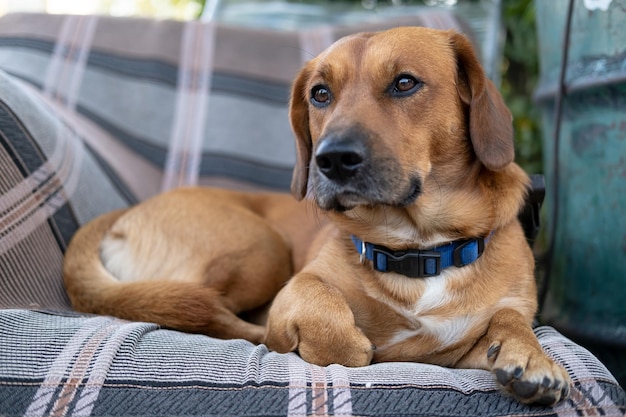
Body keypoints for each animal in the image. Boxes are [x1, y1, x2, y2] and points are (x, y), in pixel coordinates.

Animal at [62, 26, 564, 404]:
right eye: (320, 94)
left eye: (405, 83)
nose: (332, 159)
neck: (416, 247)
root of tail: (123, 216)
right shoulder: (298, 288)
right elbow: (327, 313)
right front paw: (347, 342)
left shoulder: (475, 337)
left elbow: (511, 320)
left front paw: (531, 356)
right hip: (262, 250)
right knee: (204, 308)